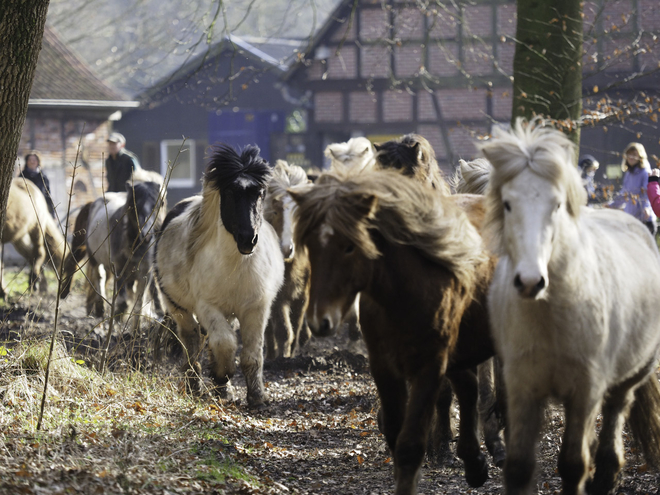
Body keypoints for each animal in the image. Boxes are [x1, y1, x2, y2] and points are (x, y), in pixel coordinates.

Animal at [157, 142, 286, 406]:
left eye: (260, 193)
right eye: (229, 192)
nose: (248, 239)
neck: (235, 267)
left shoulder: (256, 309)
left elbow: (252, 354)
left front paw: (256, 396)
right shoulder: (207, 307)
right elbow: (225, 343)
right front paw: (221, 374)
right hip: (179, 309)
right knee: (192, 343)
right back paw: (196, 386)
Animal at [292, 168, 498, 495]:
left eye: (349, 246)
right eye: (311, 246)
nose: (319, 320)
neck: (403, 292)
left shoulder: (430, 366)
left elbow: (410, 445)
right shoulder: (384, 365)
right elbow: (394, 434)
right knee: (467, 385)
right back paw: (474, 463)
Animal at [480, 120, 660, 495]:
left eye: (557, 205)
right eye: (507, 204)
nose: (530, 281)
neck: (552, 316)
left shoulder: (585, 391)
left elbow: (573, 464)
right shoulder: (523, 388)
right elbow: (519, 467)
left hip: (626, 380)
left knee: (614, 416)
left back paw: (606, 477)